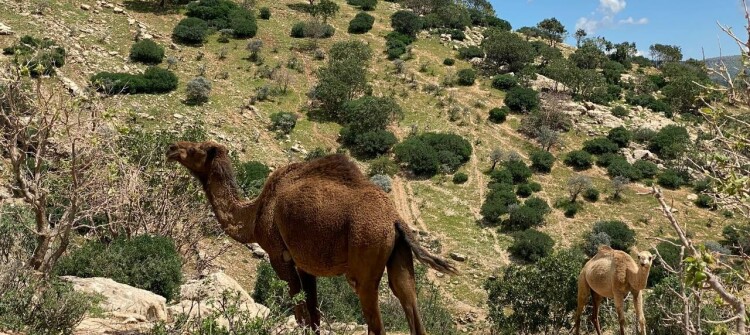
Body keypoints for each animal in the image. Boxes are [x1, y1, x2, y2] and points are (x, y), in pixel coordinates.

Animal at [167, 142, 458, 335]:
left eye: (197, 149)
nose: (172, 148)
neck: (254, 214)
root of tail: (395, 219)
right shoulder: (306, 264)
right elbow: (314, 315)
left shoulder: (279, 257)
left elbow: (299, 310)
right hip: (398, 253)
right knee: (409, 299)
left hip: (365, 252)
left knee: (375, 320)